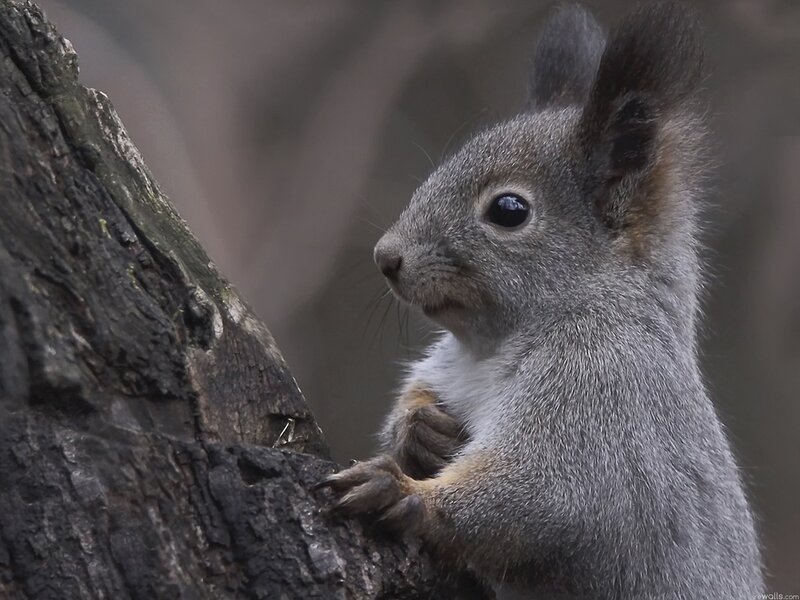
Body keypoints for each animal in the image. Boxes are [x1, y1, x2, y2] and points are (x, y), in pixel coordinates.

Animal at [317, 2, 763, 598]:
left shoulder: (604, 392)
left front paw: (407, 495)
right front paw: (420, 431)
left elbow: (548, 496)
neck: (487, 347)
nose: (386, 257)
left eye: (509, 210)